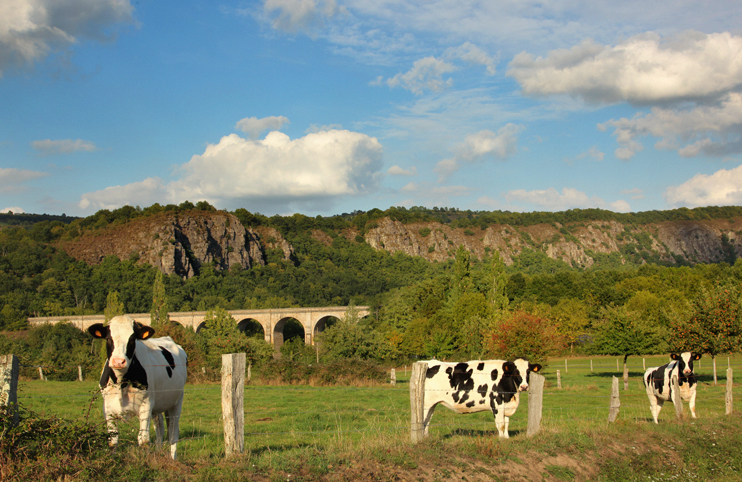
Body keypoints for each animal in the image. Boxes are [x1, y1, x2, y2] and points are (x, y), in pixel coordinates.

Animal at [88, 314, 187, 458]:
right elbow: (113, 441)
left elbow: (143, 440)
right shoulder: (107, 407)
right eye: (108, 338)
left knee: (173, 434)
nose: (118, 361)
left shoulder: (146, 404)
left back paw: (172, 459)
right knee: (160, 429)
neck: (121, 383)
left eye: (132, 339)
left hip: (176, 401)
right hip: (157, 406)